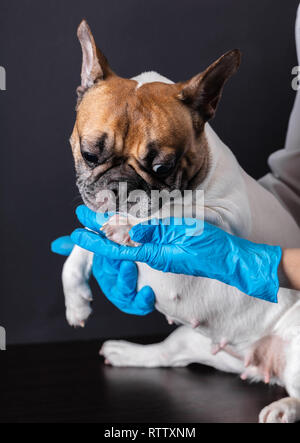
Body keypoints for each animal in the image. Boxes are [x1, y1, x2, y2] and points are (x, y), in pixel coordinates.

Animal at [62, 20, 300, 424]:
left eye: (163, 167)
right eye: (90, 153)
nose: (121, 188)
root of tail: (260, 363)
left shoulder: (230, 218)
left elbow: (176, 212)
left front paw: (128, 227)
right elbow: (80, 246)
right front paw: (76, 301)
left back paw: (284, 407)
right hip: (196, 341)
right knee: (170, 355)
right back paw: (127, 352)